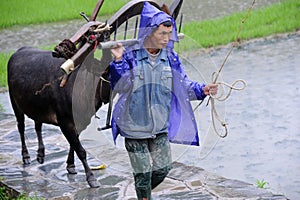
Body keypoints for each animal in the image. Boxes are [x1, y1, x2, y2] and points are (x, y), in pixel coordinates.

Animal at [7, 46, 110, 188]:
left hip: (38, 107)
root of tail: (20, 50)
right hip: (15, 103)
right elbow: (80, 150)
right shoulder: (65, 122)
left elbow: (74, 144)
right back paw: (26, 156)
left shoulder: (78, 122)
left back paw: (40, 154)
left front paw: (70, 165)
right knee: (21, 128)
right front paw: (91, 178)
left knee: (37, 125)